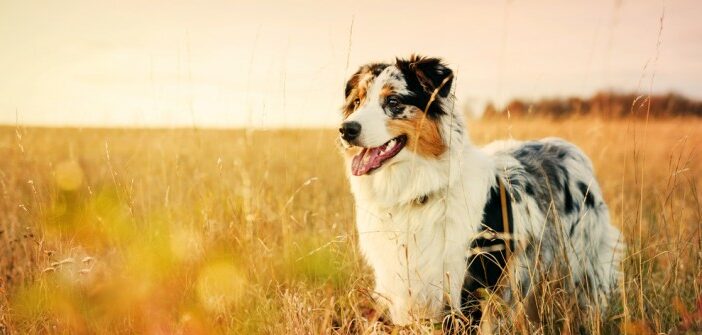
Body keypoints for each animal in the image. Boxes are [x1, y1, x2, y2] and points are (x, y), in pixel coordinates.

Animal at [338, 55, 624, 330]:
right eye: (357, 102)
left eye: (393, 101)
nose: (346, 129)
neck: (417, 192)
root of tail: (568, 147)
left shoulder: (469, 287)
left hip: (579, 272)